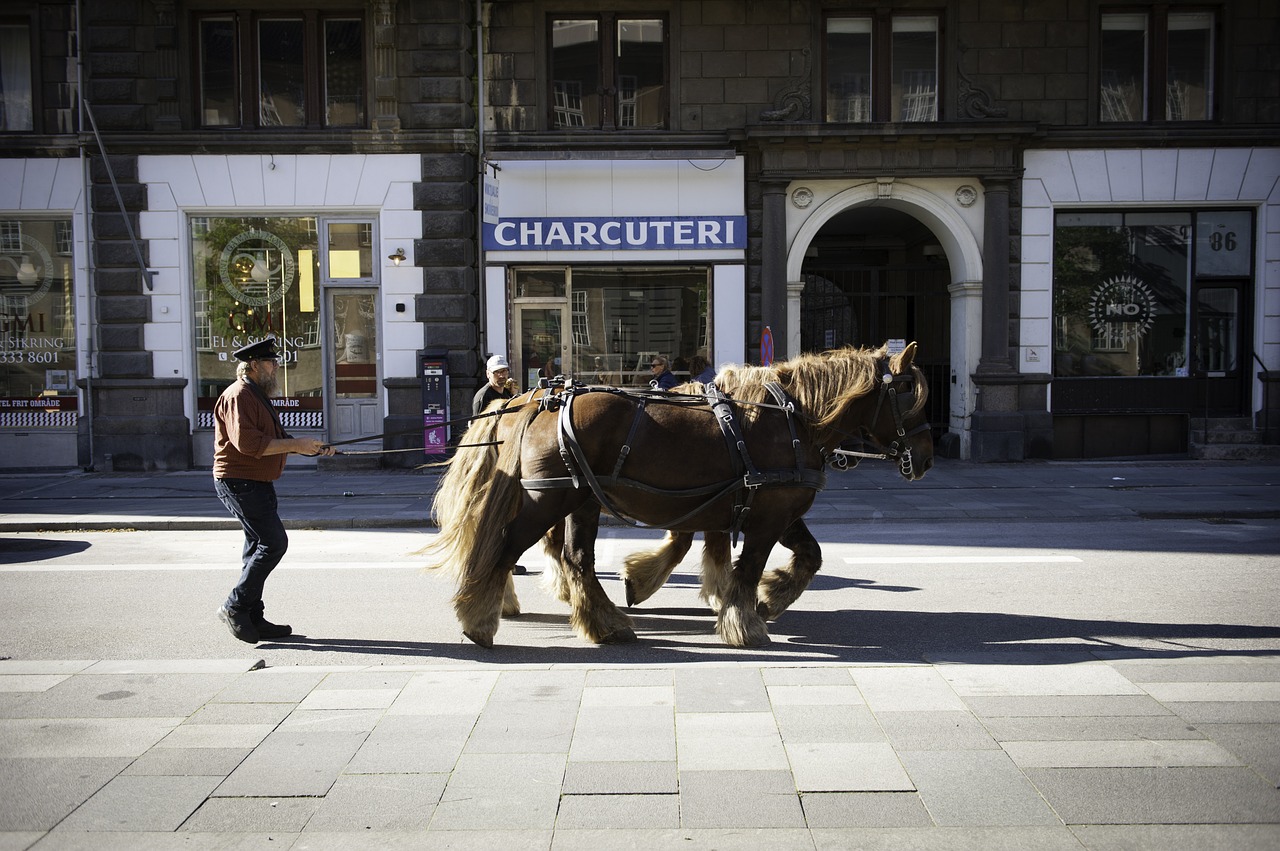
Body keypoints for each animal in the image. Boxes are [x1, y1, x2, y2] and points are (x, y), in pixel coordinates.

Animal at [424, 342, 936, 647]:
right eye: (909, 393)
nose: (927, 457)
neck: (792, 417)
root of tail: (537, 400)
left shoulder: (771, 510)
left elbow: (807, 557)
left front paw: (767, 599)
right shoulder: (766, 516)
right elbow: (747, 567)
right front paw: (745, 621)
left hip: (580, 501)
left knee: (574, 557)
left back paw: (603, 621)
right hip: (550, 499)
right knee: (508, 547)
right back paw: (479, 617)